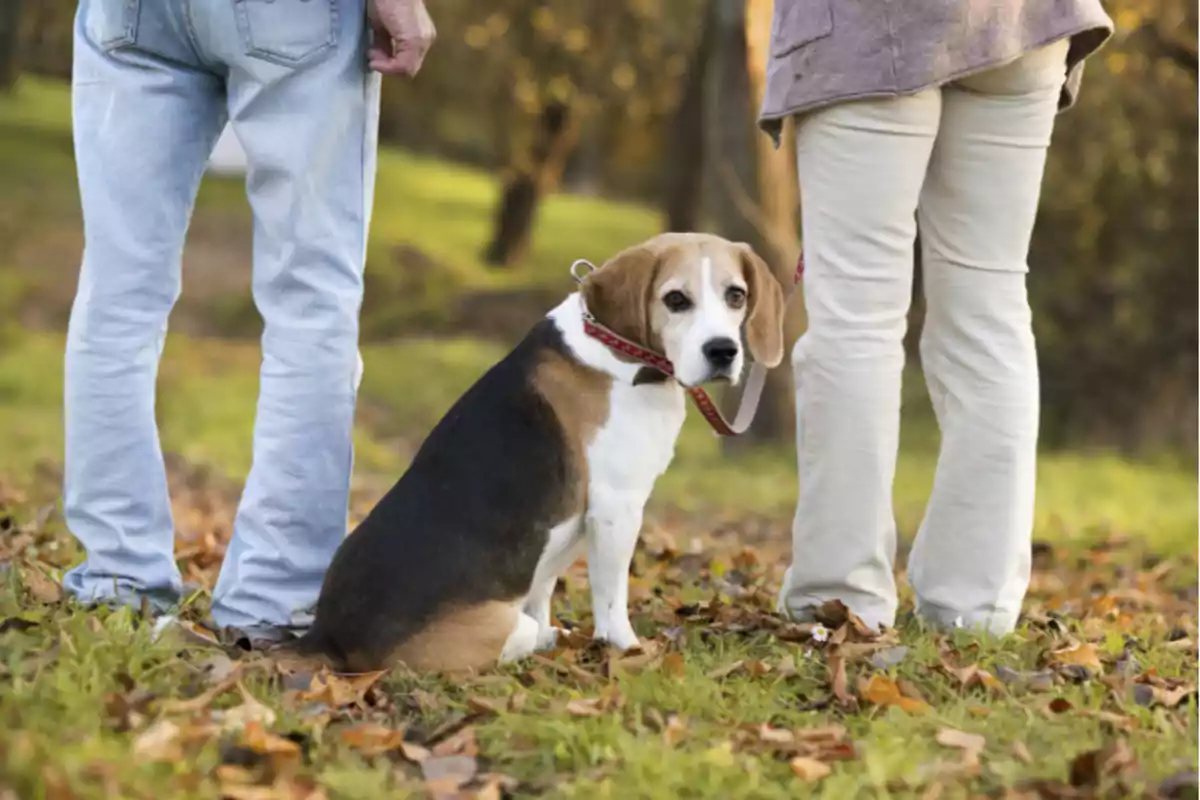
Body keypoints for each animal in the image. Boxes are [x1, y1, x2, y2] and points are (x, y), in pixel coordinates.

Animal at [292, 232, 787, 676]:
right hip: (495, 625)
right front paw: (626, 649)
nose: (723, 351)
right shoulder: (617, 506)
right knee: (526, 633)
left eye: (736, 295)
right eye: (676, 299)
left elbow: (543, 589)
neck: (616, 348)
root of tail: (327, 636)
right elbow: (612, 597)